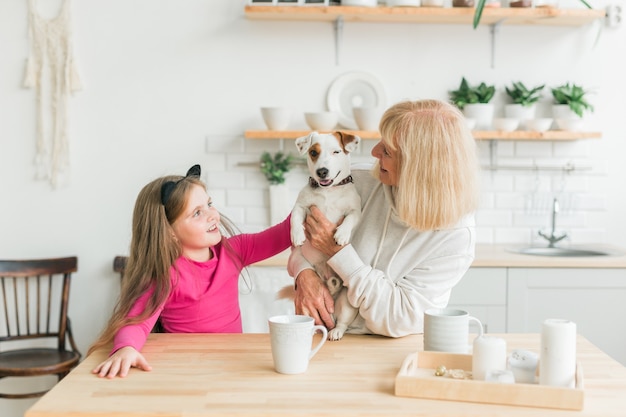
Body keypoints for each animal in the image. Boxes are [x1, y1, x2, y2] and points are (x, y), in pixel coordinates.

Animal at [282, 131, 360, 342]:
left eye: (336, 151)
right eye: (313, 152)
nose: (322, 172)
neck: (329, 191)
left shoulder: (355, 210)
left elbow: (349, 219)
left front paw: (341, 235)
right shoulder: (300, 205)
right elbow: (295, 218)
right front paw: (297, 235)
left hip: (348, 303)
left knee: (341, 323)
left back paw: (336, 332)